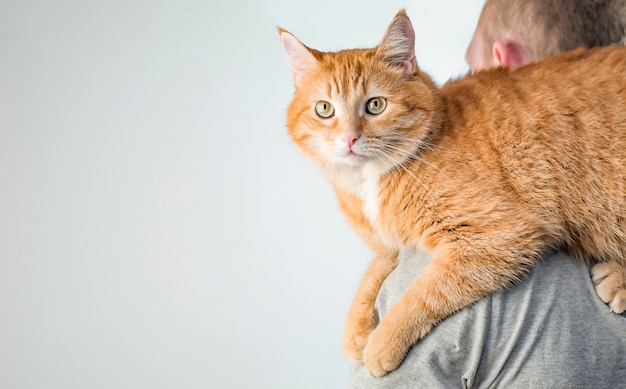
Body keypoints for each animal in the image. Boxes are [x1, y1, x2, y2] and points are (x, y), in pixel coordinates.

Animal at [278, 10, 624, 376]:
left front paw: (383, 342)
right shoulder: (390, 247)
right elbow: (370, 277)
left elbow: (424, 292)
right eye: (324, 109)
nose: (349, 138)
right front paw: (355, 330)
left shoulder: (497, 236)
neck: (372, 183)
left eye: (375, 105)